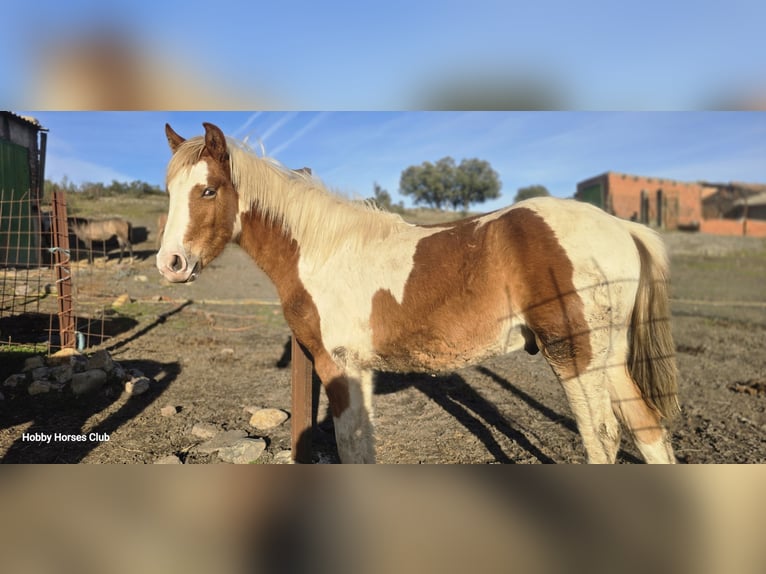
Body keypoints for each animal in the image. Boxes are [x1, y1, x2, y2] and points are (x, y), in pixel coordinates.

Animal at [157, 122, 680, 464]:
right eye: (169, 189)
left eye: (208, 190)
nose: (170, 263)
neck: (321, 250)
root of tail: (623, 227)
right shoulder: (358, 370)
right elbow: (364, 444)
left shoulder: (338, 365)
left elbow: (351, 446)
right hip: (609, 357)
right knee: (648, 429)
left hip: (575, 355)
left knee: (602, 438)